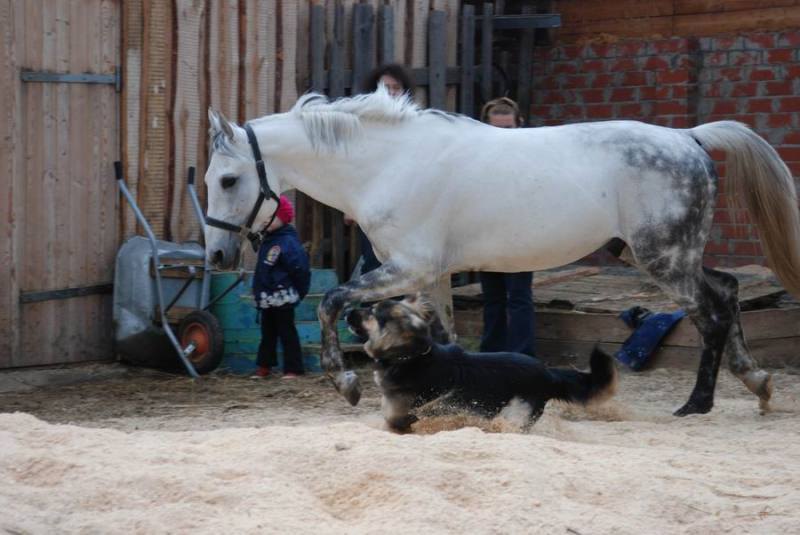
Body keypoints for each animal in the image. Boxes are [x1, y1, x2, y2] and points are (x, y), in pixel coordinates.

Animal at [346, 296, 620, 434]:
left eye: (371, 312)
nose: (347, 311)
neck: (411, 356)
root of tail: (548, 373)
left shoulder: (417, 409)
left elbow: (401, 420)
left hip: (515, 411)